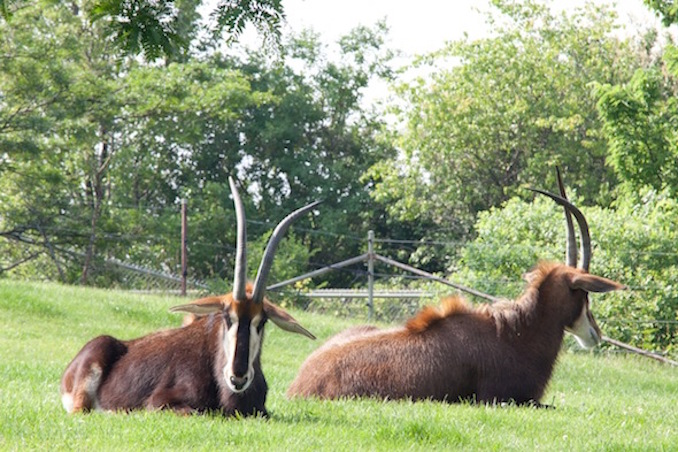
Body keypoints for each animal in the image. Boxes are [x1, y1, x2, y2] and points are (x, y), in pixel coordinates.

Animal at [59, 178, 320, 418]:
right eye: (228, 317)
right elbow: (197, 411)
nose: (237, 378)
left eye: (261, 322)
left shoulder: (262, 412)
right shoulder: (159, 402)